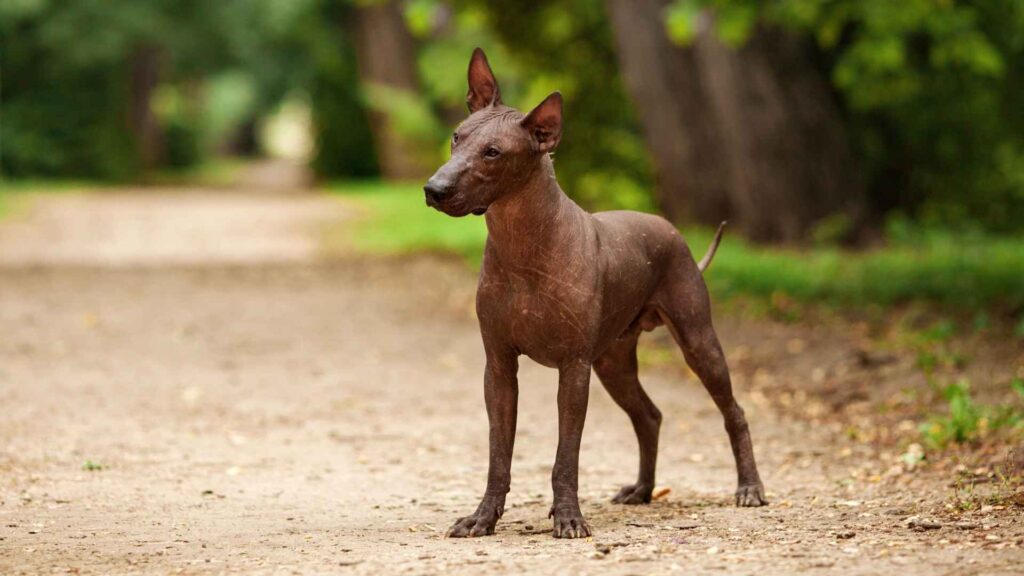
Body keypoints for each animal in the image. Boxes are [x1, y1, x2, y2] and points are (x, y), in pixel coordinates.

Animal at [419, 47, 765, 537]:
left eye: (493, 152)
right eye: (456, 137)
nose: (434, 189)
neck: (522, 245)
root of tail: (671, 231)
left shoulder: (574, 368)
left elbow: (566, 456)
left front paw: (567, 516)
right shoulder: (499, 369)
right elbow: (498, 455)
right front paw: (483, 517)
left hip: (697, 341)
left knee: (733, 411)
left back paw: (749, 488)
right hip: (613, 362)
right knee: (649, 416)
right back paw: (642, 490)